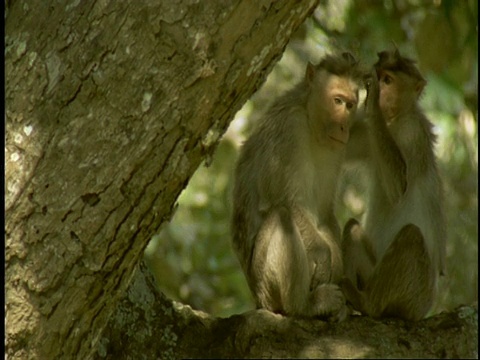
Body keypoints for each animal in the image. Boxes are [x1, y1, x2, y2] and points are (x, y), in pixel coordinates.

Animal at [232, 51, 364, 320]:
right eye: (337, 100)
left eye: (350, 105)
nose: (344, 126)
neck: (312, 122)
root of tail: (257, 300)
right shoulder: (289, 129)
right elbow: (290, 201)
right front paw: (323, 258)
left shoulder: (337, 148)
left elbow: (324, 212)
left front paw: (340, 268)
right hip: (265, 288)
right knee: (281, 216)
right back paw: (306, 305)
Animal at [342, 49, 446, 322]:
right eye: (381, 75)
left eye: (388, 80)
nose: (380, 91)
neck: (394, 121)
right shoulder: (368, 135)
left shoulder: (412, 134)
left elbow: (400, 186)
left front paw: (372, 101)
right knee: (352, 228)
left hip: (416, 296)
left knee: (411, 236)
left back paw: (367, 304)